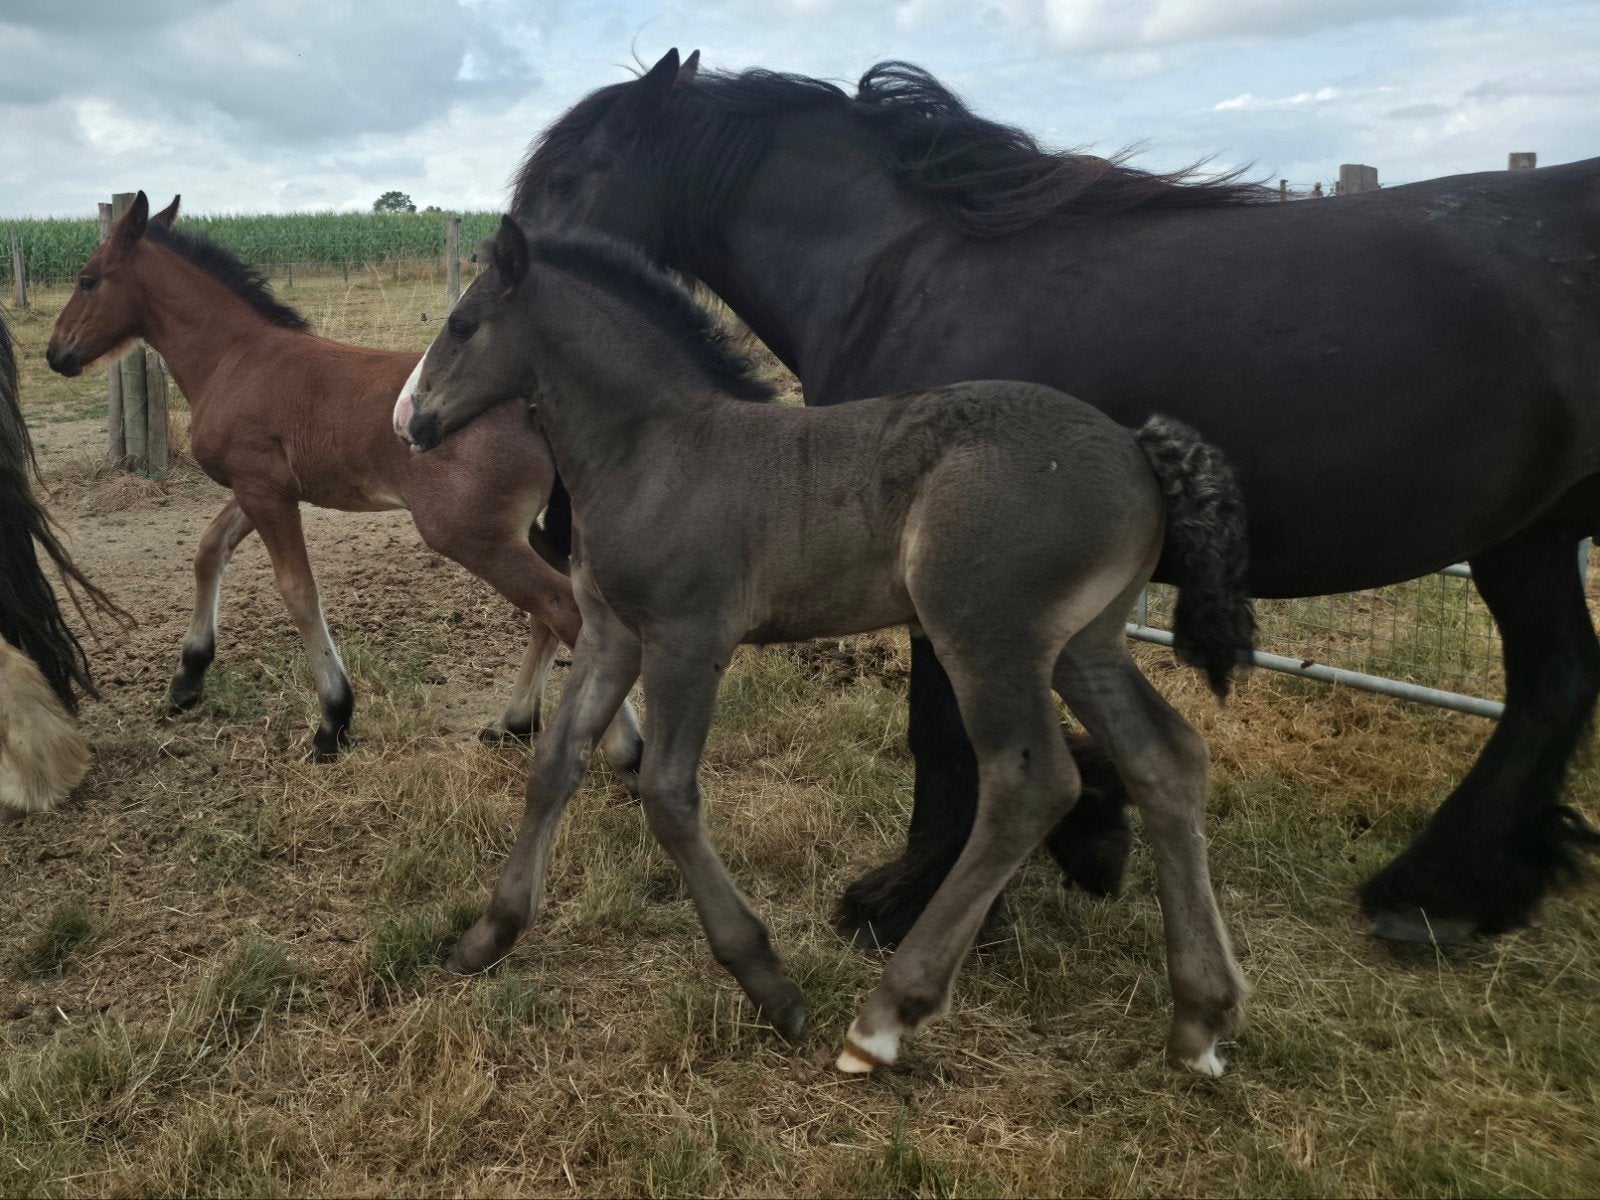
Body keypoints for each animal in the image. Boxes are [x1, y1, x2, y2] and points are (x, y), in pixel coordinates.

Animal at [45, 192, 640, 770]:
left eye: (87, 279)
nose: (56, 353)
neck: (235, 359)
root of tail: (533, 405)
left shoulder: (264, 490)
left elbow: (298, 591)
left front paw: (333, 718)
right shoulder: (260, 486)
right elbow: (209, 551)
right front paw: (187, 677)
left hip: (474, 535)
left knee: (565, 610)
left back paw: (622, 749)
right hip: (531, 528)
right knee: (562, 611)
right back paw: (516, 723)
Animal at [395, 221, 1254, 1075]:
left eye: (462, 324)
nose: (410, 422)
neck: (656, 450)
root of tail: (1139, 448)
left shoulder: (689, 637)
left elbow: (667, 795)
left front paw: (767, 981)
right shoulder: (613, 634)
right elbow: (554, 767)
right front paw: (488, 935)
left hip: (987, 637)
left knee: (1031, 785)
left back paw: (884, 1019)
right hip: (1085, 643)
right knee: (1167, 760)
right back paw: (1200, 1019)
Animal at [508, 49, 1600, 948]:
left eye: (568, 175)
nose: (502, 269)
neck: (897, 278)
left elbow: (942, 728)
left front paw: (906, 900)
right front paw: (1090, 829)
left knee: (1551, 682)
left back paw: (1434, 893)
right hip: (1533, 533)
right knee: (1555, 680)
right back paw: (1450, 892)